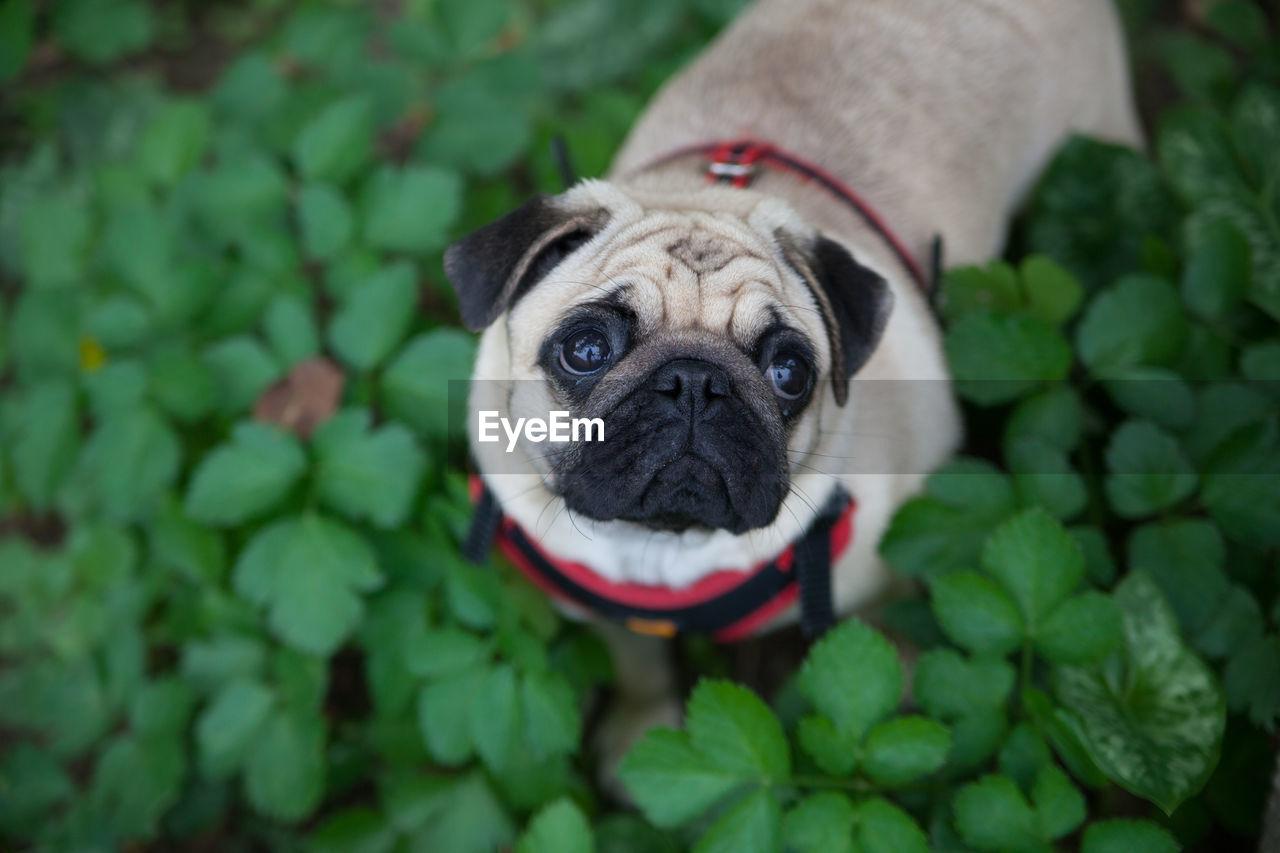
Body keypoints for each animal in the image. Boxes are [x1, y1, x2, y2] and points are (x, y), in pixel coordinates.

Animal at [442, 0, 1141, 768]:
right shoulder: (608, 609)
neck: (664, 546)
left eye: (789, 372)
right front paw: (642, 729)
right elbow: (637, 662)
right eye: (586, 349)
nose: (694, 381)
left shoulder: (881, 582)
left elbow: (888, 648)